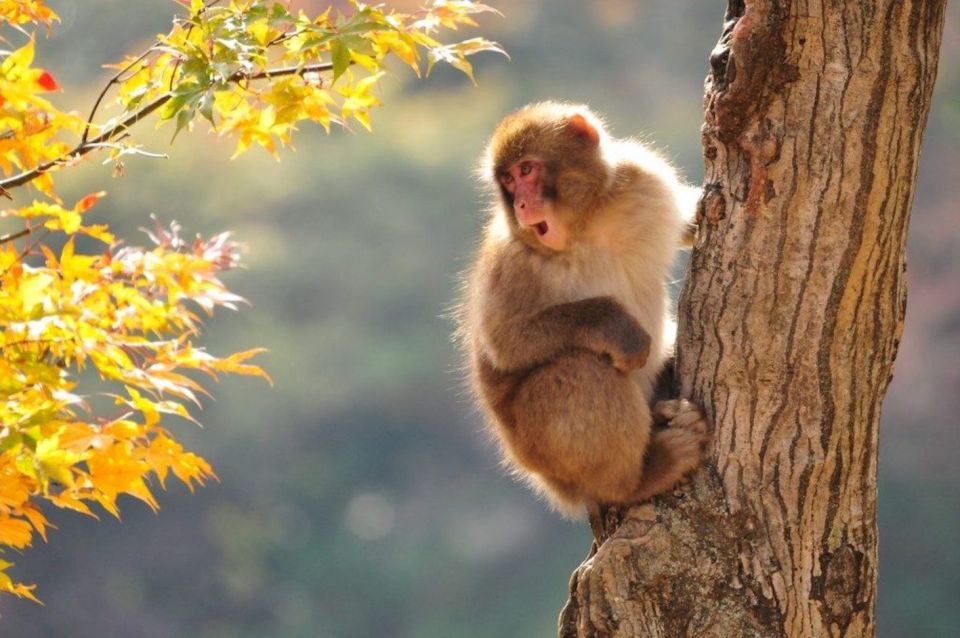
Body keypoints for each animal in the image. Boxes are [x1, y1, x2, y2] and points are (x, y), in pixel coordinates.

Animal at [456, 101, 709, 516]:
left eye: (526, 170)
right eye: (507, 181)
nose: (522, 203)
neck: (586, 226)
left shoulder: (643, 179)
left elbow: (687, 219)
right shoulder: (510, 259)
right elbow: (505, 343)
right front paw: (617, 328)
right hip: (546, 452)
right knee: (581, 369)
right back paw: (639, 479)